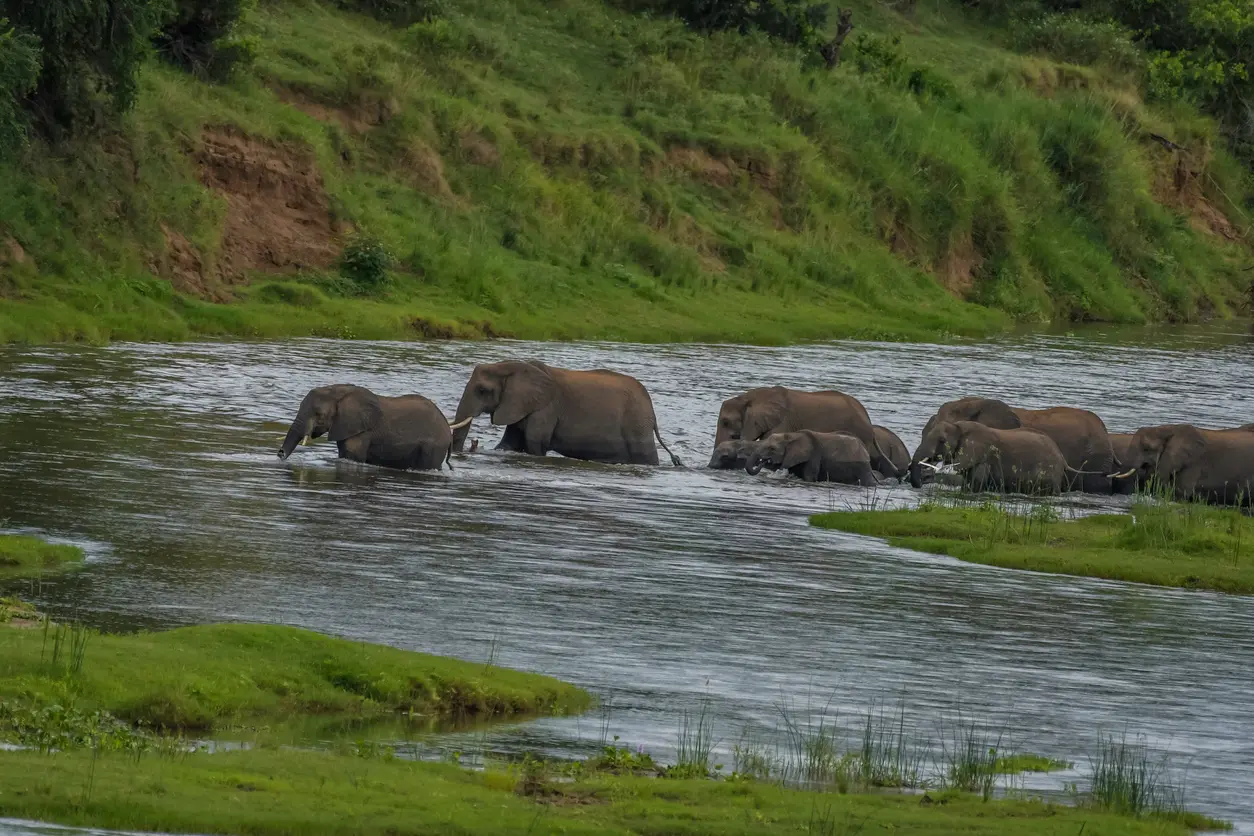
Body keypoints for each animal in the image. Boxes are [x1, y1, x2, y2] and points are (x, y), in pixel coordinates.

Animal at [278, 384, 469, 470]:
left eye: (319, 414)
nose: (280, 453)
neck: (338, 391)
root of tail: (447, 427)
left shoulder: (363, 432)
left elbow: (353, 456)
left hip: (434, 447)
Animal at [451, 360, 681, 466]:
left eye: (482, 390)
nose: (469, 447)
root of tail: (652, 412)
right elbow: (508, 444)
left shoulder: (545, 409)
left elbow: (535, 444)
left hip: (636, 424)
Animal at [745, 430, 879, 485]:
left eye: (772, 449)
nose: (762, 461)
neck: (792, 435)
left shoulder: (814, 456)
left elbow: (809, 477)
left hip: (862, 465)